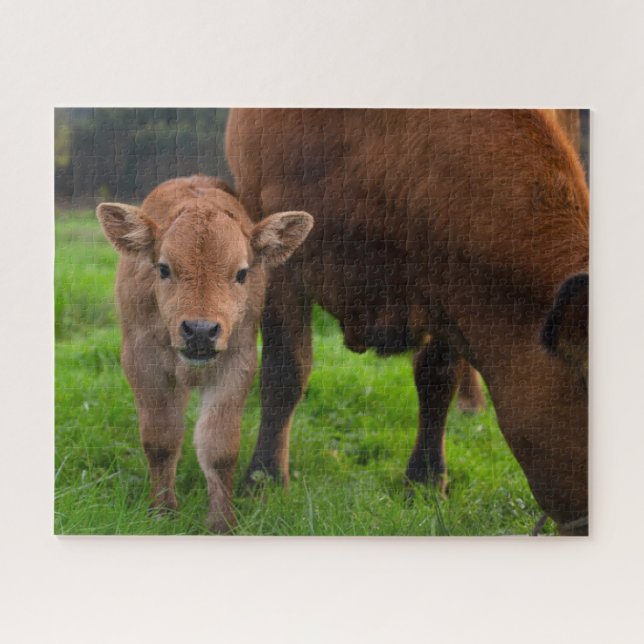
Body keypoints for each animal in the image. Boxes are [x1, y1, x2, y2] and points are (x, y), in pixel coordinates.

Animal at [96, 175, 313, 533]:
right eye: (164, 268)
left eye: (241, 273)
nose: (199, 330)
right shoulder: (142, 363)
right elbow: (161, 440)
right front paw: (162, 512)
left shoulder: (237, 363)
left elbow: (219, 448)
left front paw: (222, 522)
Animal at [226, 109, 589, 535]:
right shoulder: (279, 251)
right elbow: (285, 372)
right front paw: (262, 483)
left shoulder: (449, 282)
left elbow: (438, 378)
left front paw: (426, 481)